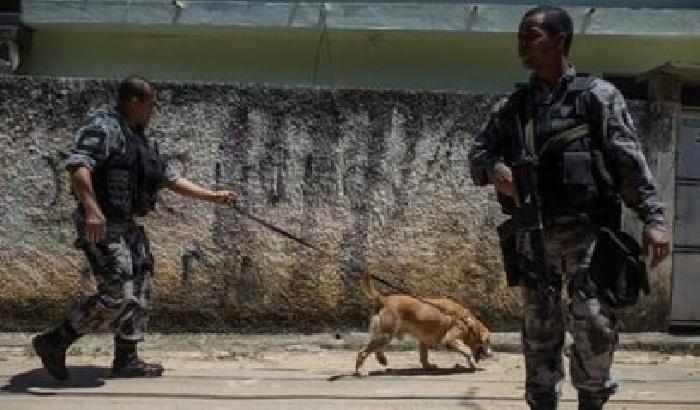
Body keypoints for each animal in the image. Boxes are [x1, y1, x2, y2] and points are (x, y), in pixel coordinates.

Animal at [356, 272, 492, 374]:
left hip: (383, 334)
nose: (492, 355)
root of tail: (383, 299)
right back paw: (360, 371)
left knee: (376, 348)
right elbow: (466, 351)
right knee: (363, 352)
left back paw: (382, 359)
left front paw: (428, 366)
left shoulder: (424, 341)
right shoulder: (449, 339)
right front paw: (472, 362)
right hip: (386, 334)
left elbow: (424, 356)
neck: (468, 323)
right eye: (487, 341)